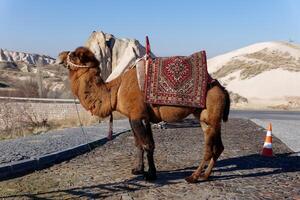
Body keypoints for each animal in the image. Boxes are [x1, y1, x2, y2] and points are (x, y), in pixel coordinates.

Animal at [56, 47, 230, 183]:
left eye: (73, 55)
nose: (60, 56)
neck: (116, 90)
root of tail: (223, 90)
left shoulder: (136, 116)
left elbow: (147, 145)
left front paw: (151, 175)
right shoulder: (139, 117)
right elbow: (140, 144)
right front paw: (138, 169)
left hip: (212, 114)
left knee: (210, 148)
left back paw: (193, 177)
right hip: (205, 118)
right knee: (218, 147)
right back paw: (205, 176)